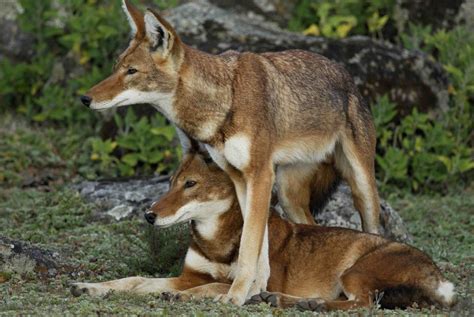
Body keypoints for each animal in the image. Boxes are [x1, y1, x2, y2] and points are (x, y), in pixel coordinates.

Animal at [71, 152, 456, 310]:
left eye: (190, 185)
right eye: (169, 184)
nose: (149, 215)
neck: (216, 241)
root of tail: (442, 279)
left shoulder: (237, 278)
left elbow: (215, 286)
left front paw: (181, 297)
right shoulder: (187, 275)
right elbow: (133, 281)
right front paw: (90, 287)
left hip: (354, 271)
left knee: (362, 305)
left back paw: (308, 304)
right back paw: (285, 301)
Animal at [82, 0, 382, 304]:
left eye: (131, 71)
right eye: (116, 68)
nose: (85, 98)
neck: (225, 100)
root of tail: (346, 75)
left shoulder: (260, 175)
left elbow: (249, 244)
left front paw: (235, 296)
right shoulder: (239, 178)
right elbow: (257, 245)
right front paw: (255, 289)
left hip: (361, 186)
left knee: (374, 231)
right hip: (289, 196)